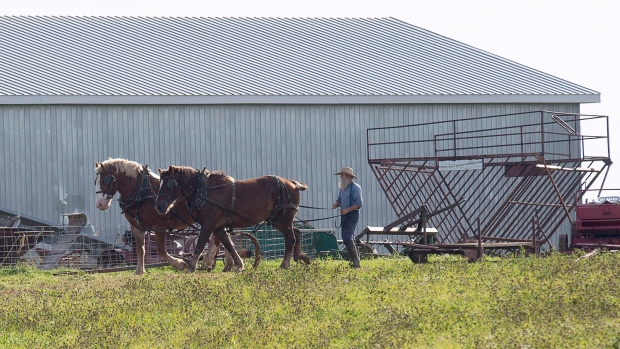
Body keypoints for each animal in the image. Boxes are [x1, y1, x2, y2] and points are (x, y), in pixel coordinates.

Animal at [155, 164, 310, 270]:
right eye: (159, 184)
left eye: (168, 184)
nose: (159, 207)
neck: (204, 191)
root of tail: (292, 184)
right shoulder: (218, 227)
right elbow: (228, 245)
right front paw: (239, 264)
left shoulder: (208, 225)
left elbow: (199, 246)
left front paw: (191, 267)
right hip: (277, 220)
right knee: (297, 232)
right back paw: (301, 257)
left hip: (285, 219)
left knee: (290, 239)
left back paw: (285, 264)